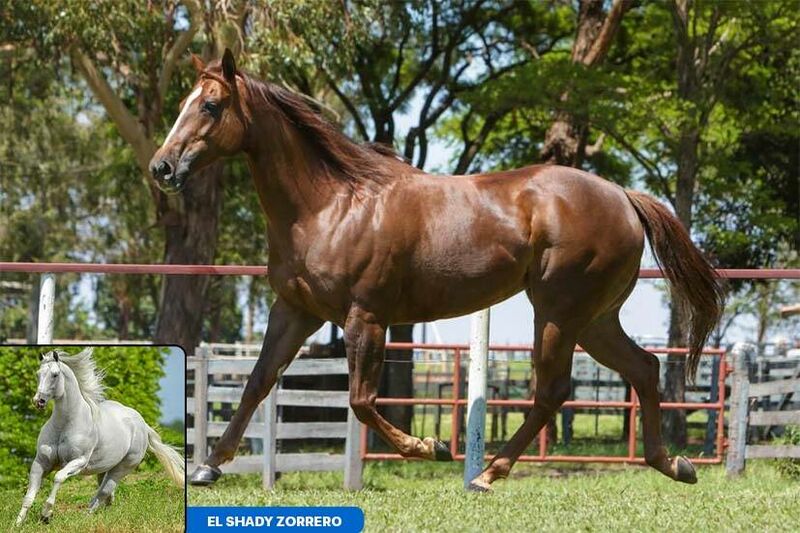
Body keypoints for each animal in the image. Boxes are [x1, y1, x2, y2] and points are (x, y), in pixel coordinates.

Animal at [15, 348, 184, 524]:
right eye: (38, 374)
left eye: (55, 374)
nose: (38, 401)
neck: (65, 425)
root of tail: (142, 425)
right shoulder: (41, 463)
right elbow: (29, 496)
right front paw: (18, 523)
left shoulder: (79, 462)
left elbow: (59, 477)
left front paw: (46, 514)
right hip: (104, 469)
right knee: (107, 496)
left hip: (122, 468)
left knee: (102, 494)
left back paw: (84, 519)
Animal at [152, 51, 724, 490]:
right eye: (182, 105)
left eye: (210, 105)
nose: (162, 167)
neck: (331, 205)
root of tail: (623, 197)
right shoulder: (295, 310)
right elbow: (257, 381)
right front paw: (207, 468)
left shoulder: (366, 317)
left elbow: (361, 401)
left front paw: (429, 448)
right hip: (595, 319)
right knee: (643, 368)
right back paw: (675, 465)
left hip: (559, 312)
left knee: (553, 390)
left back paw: (487, 473)